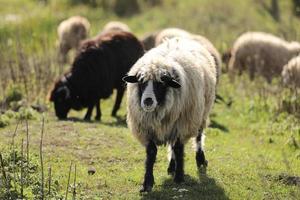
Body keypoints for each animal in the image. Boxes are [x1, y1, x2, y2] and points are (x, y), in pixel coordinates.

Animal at [123, 37, 217, 192]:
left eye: (161, 84)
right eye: (141, 82)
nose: (147, 101)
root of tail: (181, 38)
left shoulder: (181, 126)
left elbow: (179, 149)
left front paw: (179, 177)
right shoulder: (147, 129)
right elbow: (151, 153)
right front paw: (147, 183)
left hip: (200, 114)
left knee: (198, 137)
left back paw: (200, 159)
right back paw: (171, 166)